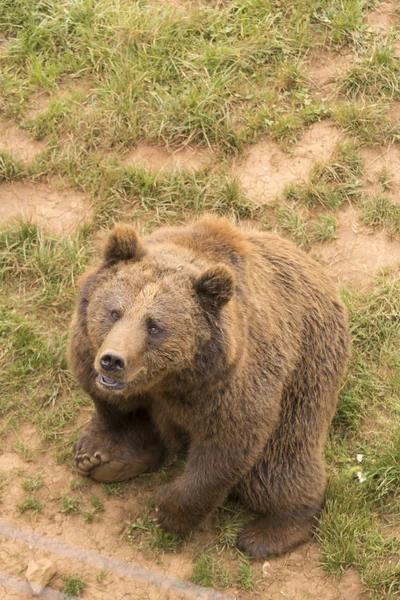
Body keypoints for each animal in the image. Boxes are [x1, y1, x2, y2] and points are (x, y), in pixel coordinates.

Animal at [67, 214, 348, 556]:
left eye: (154, 326)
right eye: (113, 311)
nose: (112, 360)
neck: (169, 380)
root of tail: (316, 268)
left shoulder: (225, 385)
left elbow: (226, 446)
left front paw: (168, 513)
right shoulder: (90, 354)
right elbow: (119, 410)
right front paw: (102, 457)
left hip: (307, 369)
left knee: (278, 464)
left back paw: (270, 532)